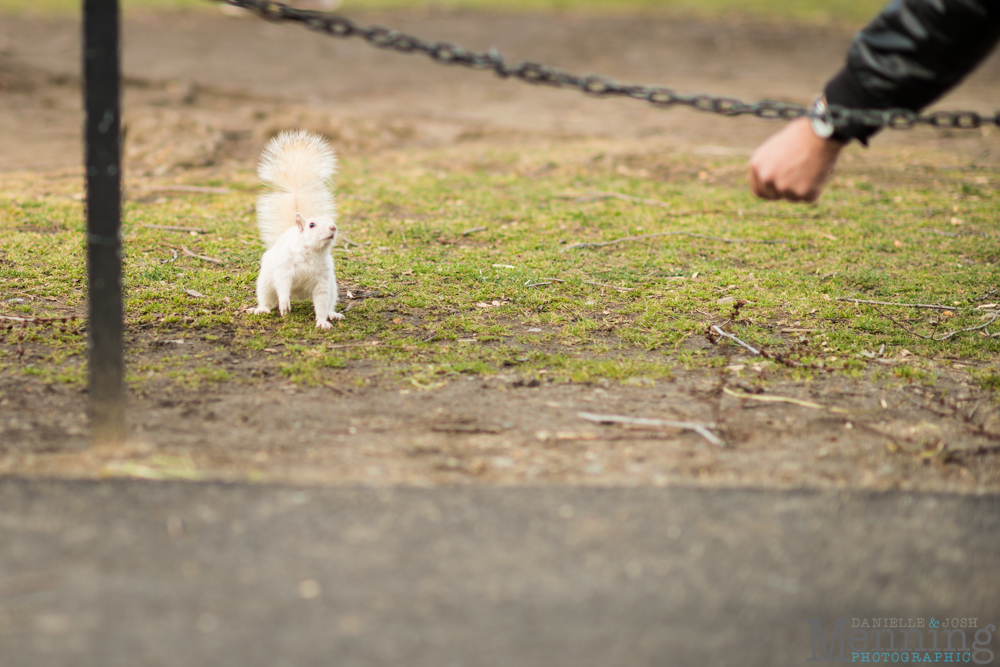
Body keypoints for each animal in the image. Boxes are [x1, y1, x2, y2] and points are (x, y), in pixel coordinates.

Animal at [249, 129, 344, 330]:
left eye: (332, 221)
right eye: (311, 225)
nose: (333, 228)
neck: (312, 253)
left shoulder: (323, 281)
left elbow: (321, 302)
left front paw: (322, 321)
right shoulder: (285, 269)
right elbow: (283, 285)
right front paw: (285, 304)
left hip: (333, 287)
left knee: (329, 302)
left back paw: (333, 314)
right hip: (265, 281)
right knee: (267, 297)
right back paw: (262, 309)